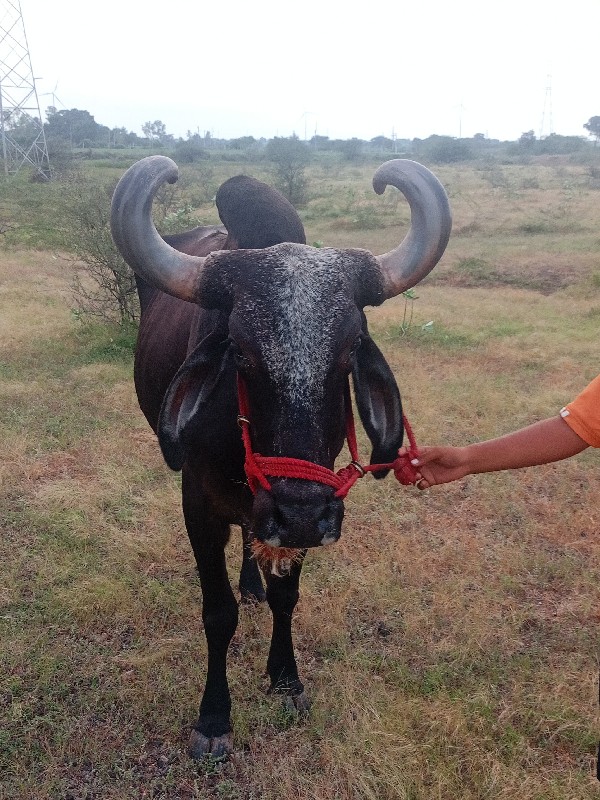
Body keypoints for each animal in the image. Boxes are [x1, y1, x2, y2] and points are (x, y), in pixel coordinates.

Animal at [109, 155, 450, 756]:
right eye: (240, 351)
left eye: (349, 350)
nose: (299, 513)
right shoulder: (198, 504)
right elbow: (217, 612)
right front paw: (214, 718)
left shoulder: (304, 515)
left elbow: (286, 595)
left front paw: (286, 680)